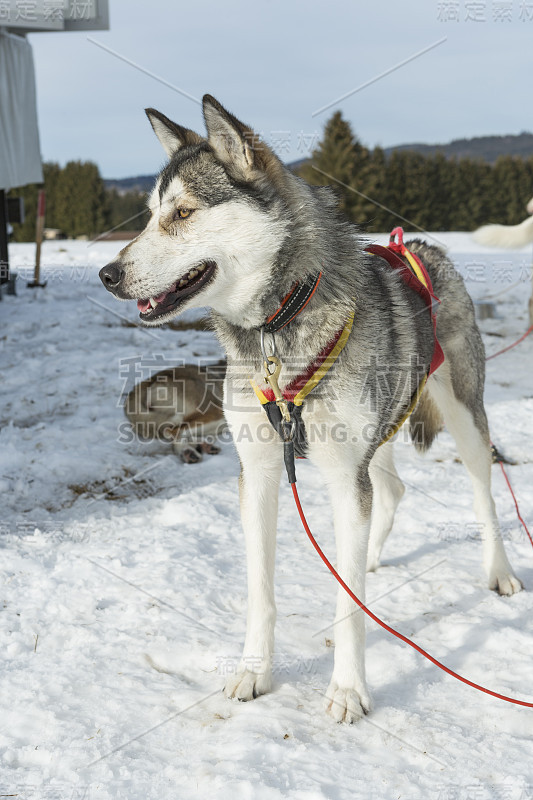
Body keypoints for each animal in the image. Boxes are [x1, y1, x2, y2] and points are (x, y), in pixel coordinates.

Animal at [98, 97, 520, 720]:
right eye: (150, 216)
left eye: (183, 213)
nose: (106, 274)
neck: (278, 328)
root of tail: (421, 247)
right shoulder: (260, 472)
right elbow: (261, 590)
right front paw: (254, 671)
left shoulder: (345, 475)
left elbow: (347, 606)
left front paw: (348, 689)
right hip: (380, 432)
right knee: (392, 489)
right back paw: (371, 556)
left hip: (464, 419)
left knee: (482, 494)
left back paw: (499, 572)